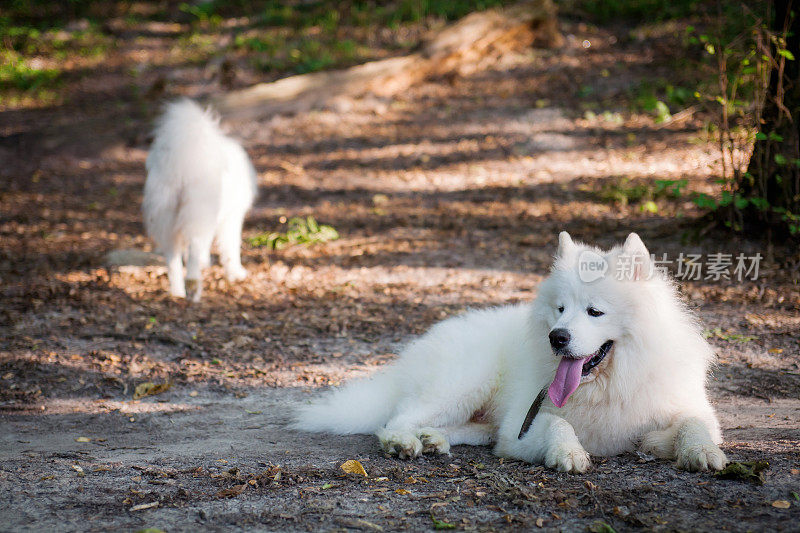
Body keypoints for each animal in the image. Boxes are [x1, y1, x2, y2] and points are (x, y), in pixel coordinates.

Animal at [142, 97, 256, 302]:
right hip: (199, 214)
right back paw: (194, 290)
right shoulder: (232, 218)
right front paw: (235, 273)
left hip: (167, 219)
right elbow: (231, 247)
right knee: (193, 251)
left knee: (173, 259)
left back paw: (177, 292)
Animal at [296, 231, 732, 472]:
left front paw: (699, 452)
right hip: (464, 385)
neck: (608, 383)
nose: (557, 337)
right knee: (395, 419)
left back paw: (433, 439)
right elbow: (558, 424)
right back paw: (404, 442)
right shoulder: (521, 427)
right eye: (560, 309)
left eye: (594, 311)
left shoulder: (687, 410)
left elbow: (693, 424)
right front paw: (568, 453)